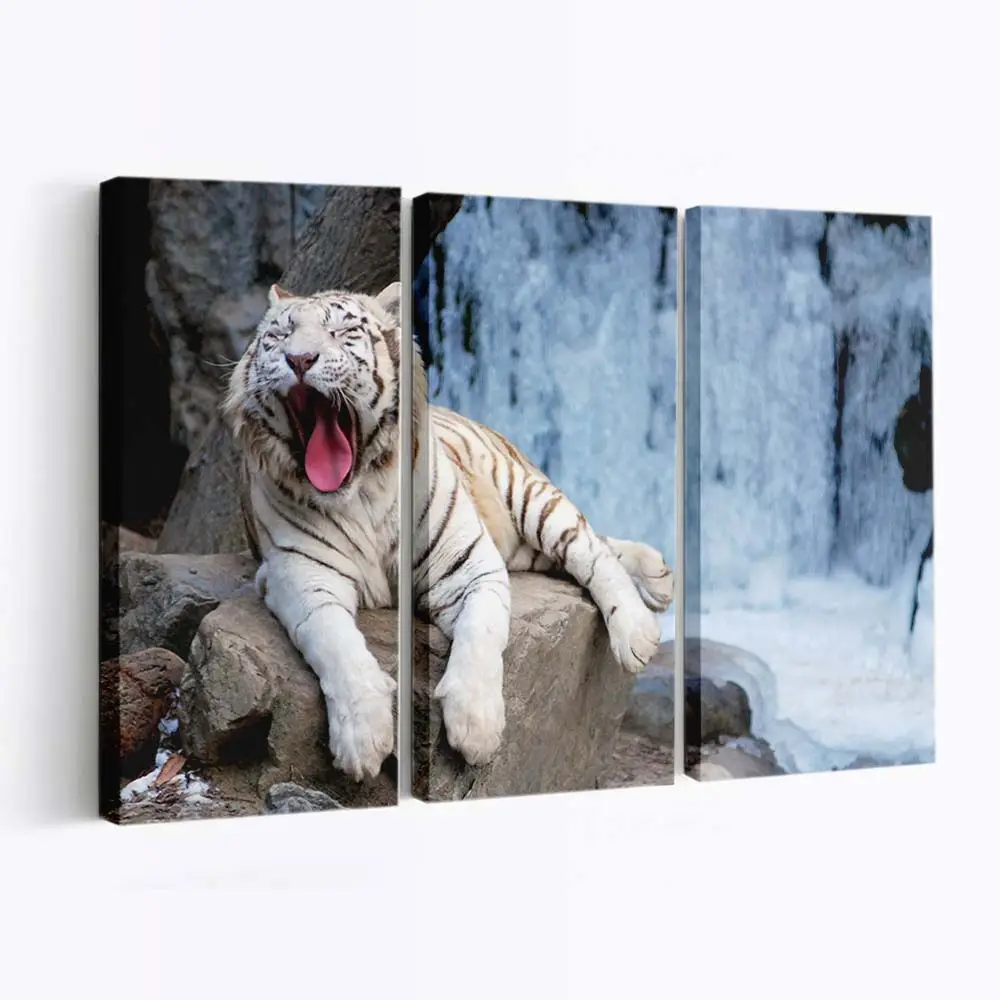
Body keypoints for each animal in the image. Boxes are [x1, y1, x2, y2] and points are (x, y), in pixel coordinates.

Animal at [223, 281, 673, 782]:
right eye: (279, 336)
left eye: (342, 332)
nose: (299, 360)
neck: (361, 493)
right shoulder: (301, 578)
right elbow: (336, 644)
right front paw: (363, 738)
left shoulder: (470, 565)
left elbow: (482, 633)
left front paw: (476, 727)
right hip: (522, 547)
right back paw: (658, 574)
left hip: (529, 496)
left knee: (590, 548)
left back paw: (639, 626)